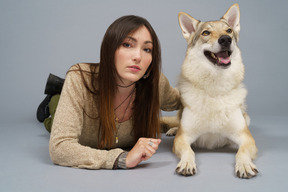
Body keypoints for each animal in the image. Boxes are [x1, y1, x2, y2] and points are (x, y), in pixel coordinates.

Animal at [162, 3, 258, 178]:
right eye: (206, 33)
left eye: (229, 31)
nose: (226, 39)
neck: (214, 89)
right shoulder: (183, 138)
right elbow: (189, 151)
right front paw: (186, 163)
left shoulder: (246, 138)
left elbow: (241, 152)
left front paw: (245, 164)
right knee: (177, 123)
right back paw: (173, 129)